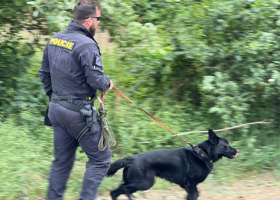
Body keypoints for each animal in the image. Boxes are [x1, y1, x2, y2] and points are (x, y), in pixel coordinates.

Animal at [107, 130, 238, 200]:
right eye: (226, 145)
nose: (237, 151)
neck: (202, 154)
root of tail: (131, 159)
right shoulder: (191, 185)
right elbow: (194, 196)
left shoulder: (187, 186)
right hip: (144, 183)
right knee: (124, 190)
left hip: (135, 182)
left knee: (115, 192)